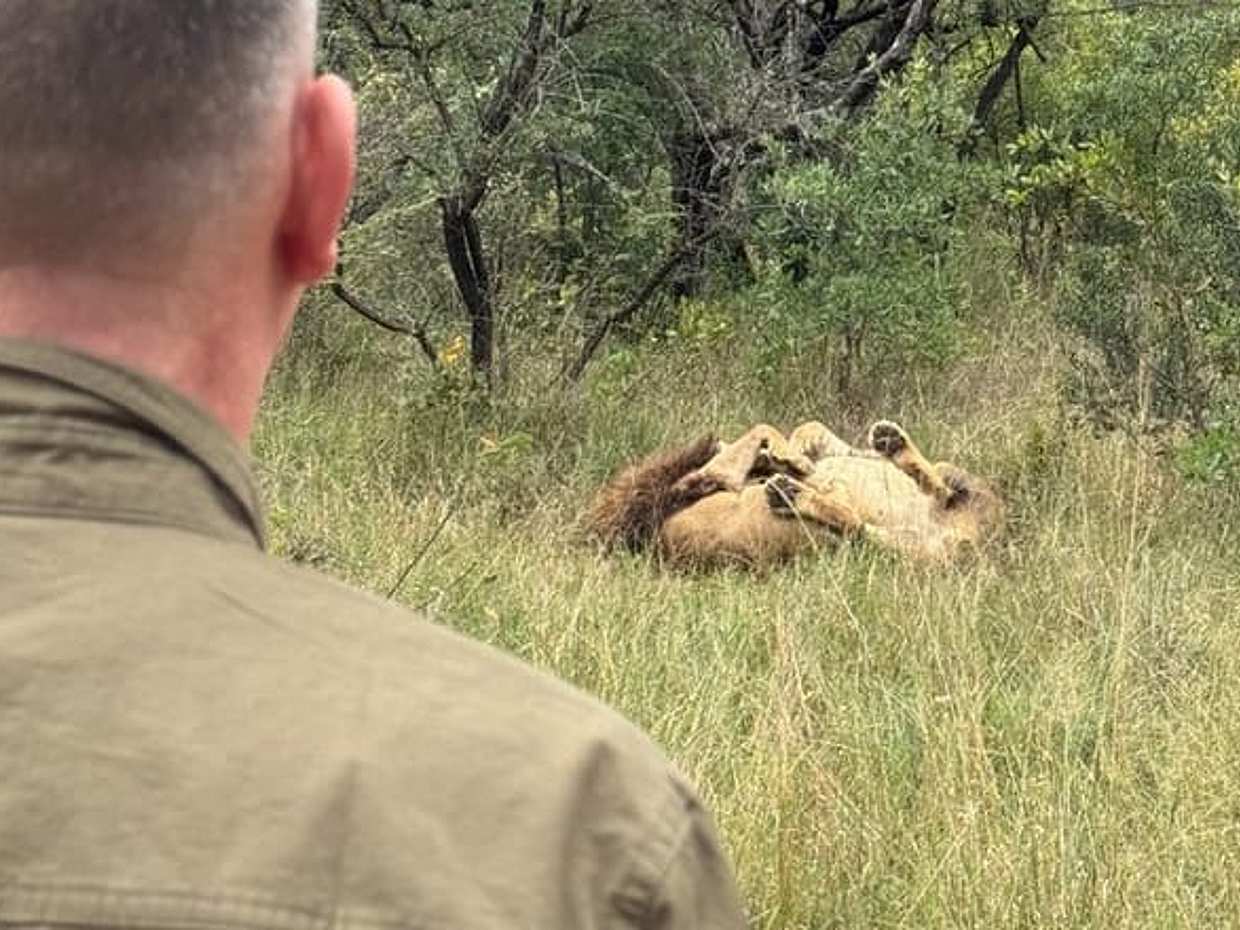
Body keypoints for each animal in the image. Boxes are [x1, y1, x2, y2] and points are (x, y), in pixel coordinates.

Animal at [588, 419, 1003, 568]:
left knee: (938, 488)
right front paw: (791, 460)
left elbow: (795, 431)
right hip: (910, 549)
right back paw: (793, 491)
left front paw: (787, 456)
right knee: (855, 523)